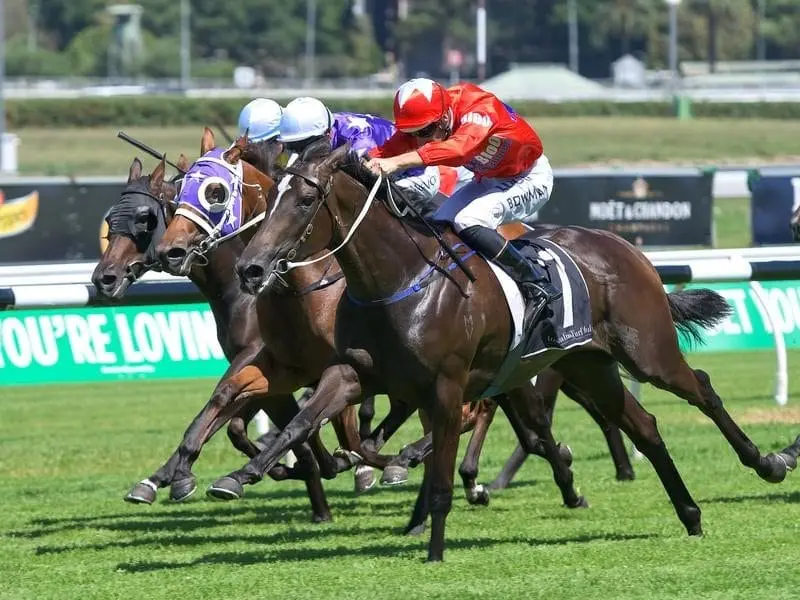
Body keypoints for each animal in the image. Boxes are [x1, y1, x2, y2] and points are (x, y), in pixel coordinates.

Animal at [90, 151, 340, 520]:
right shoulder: (272, 370)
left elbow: (233, 415)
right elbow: (236, 421)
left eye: (145, 219)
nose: (104, 278)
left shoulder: (259, 358)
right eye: (110, 219)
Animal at [219, 145, 800, 564]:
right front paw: (240, 476)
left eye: (304, 201)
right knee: (646, 426)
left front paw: (434, 552)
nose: (249, 268)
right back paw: (690, 513)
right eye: (269, 199)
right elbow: (303, 422)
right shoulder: (354, 373)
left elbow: (440, 474)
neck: (400, 280)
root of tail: (628, 248)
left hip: (647, 352)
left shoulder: (447, 387)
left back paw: (770, 462)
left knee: (701, 387)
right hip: (589, 365)